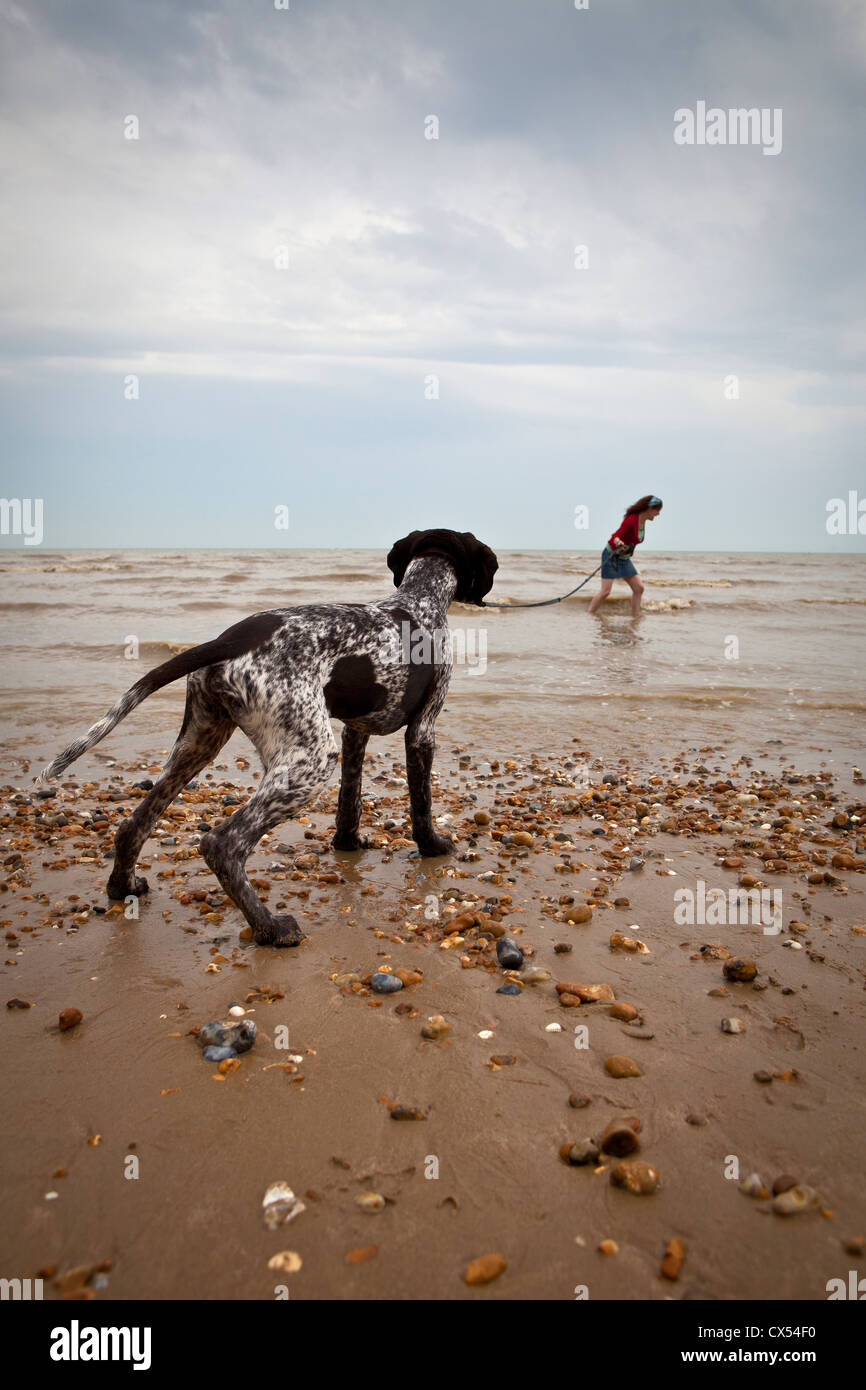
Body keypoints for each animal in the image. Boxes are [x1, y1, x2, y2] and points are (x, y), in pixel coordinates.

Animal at [38, 528, 500, 945]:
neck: (417, 601)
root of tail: (227, 640)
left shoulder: (354, 732)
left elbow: (349, 801)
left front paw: (348, 843)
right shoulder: (423, 729)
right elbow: (421, 804)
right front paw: (433, 847)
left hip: (200, 742)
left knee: (133, 825)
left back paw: (123, 887)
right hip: (310, 760)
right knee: (223, 843)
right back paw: (270, 928)